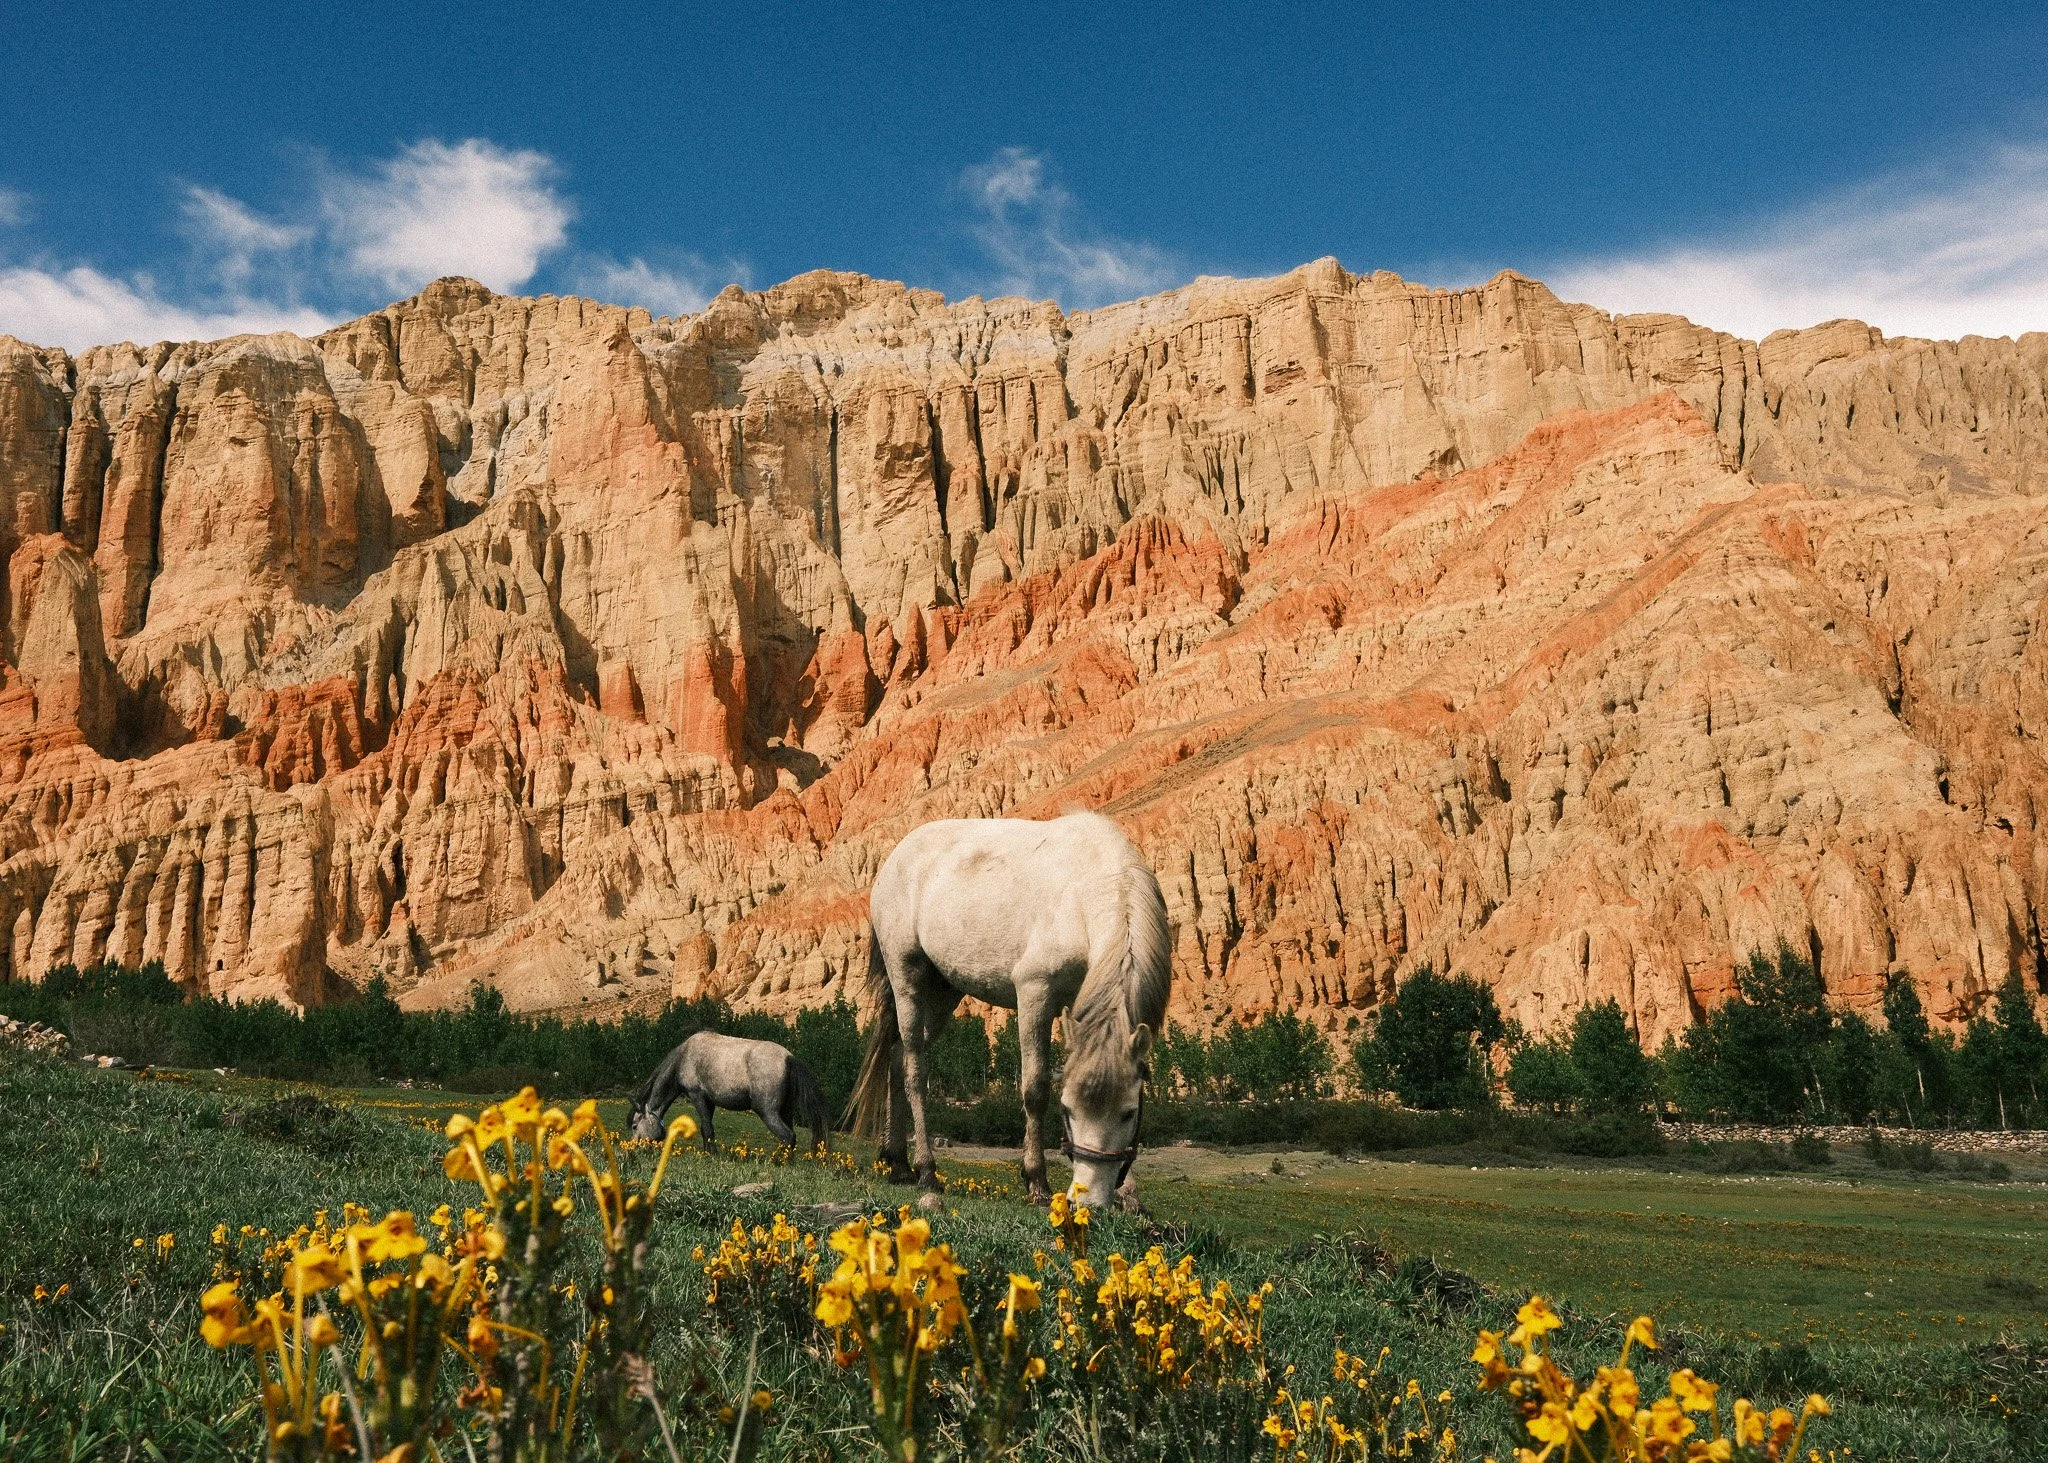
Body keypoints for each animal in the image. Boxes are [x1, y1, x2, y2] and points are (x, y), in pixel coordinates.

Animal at [628, 1032, 833, 1150]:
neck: (684, 1057)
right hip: (786, 1111)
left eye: (635, 1125)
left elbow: (707, 1128)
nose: (635, 1148)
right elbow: (706, 1129)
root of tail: (788, 1058)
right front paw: (707, 1152)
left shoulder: (697, 1096)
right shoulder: (709, 1101)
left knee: (788, 1136)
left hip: (768, 1112)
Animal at [844, 811, 1170, 1211]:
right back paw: (926, 1171)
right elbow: (1035, 1088)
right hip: (907, 977)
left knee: (896, 1056)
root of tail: (893, 860)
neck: (1090, 890)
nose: (1088, 1202)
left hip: (943, 993)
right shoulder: (1034, 993)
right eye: (1067, 1110)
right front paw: (1036, 1181)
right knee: (914, 1072)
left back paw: (898, 1163)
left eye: (1128, 1113)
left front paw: (1129, 1195)